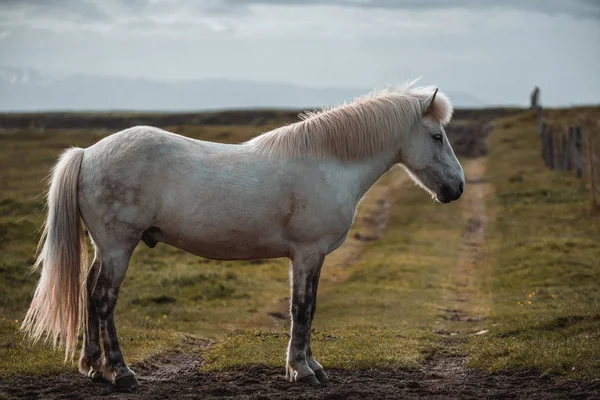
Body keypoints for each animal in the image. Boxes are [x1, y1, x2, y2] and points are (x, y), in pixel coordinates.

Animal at [21, 83, 464, 392]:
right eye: (437, 136)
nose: (457, 188)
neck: (328, 162)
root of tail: (88, 153)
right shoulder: (307, 253)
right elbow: (302, 309)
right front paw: (302, 371)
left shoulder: (311, 257)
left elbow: (307, 308)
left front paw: (310, 367)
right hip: (118, 247)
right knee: (103, 298)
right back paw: (121, 372)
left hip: (105, 248)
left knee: (88, 290)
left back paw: (94, 367)